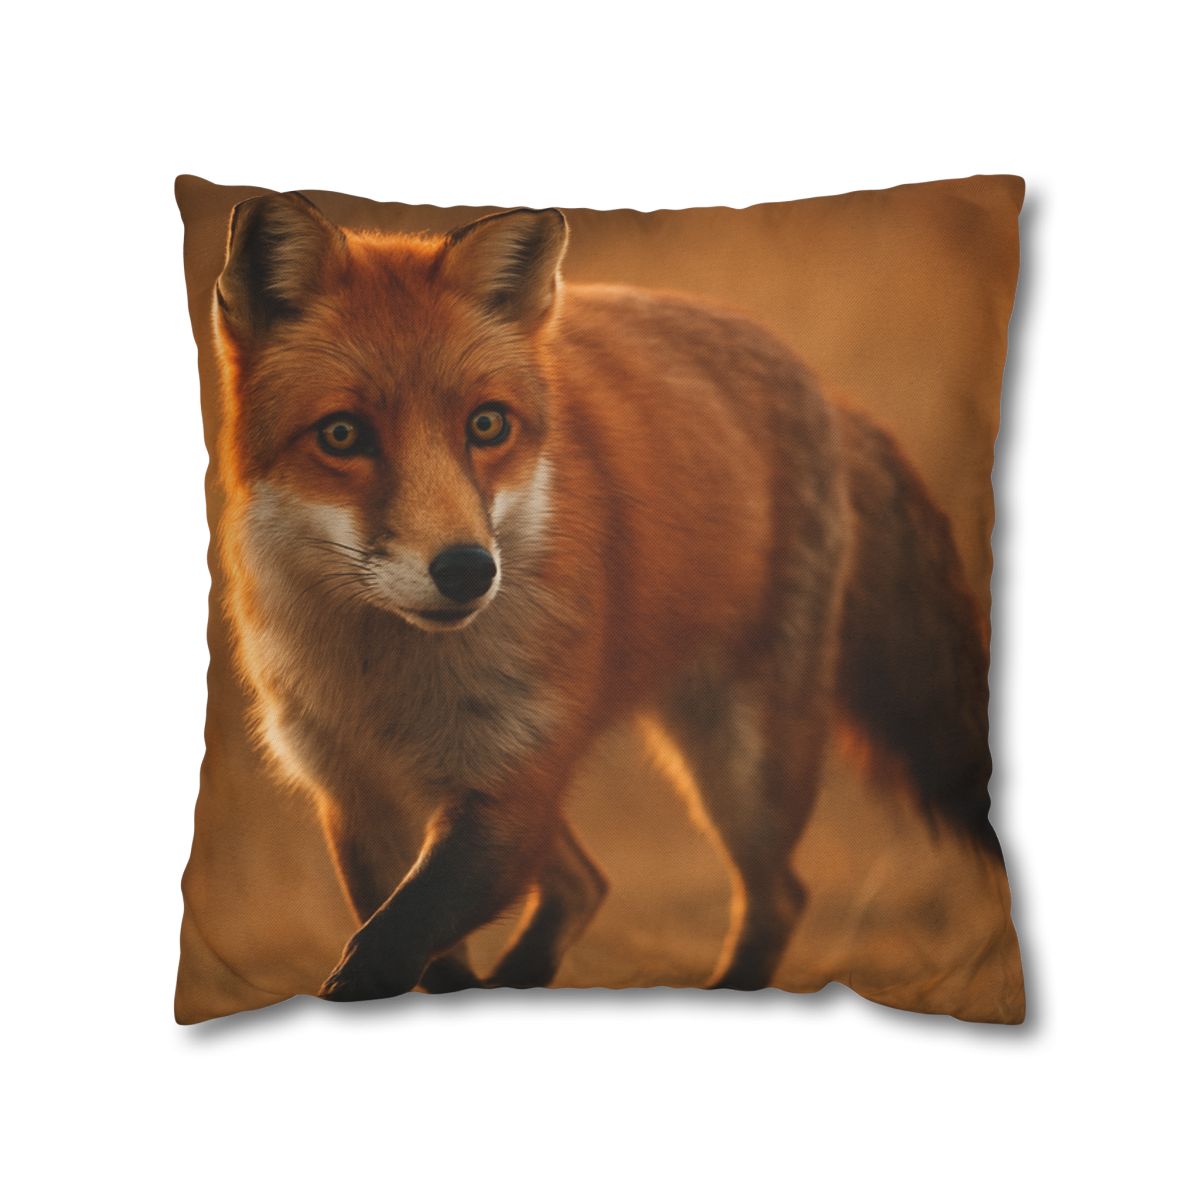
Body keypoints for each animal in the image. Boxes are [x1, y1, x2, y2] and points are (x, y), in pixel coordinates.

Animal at [212, 191, 1000, 1002]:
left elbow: (388, 944)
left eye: (486, 424)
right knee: (585, 884)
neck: (393, 682)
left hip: (740, 765)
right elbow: (414, 957)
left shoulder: (512, 786)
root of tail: (824, 386)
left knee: (774, 895)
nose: (467, 571)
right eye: (341, 435)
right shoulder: (358, 800)